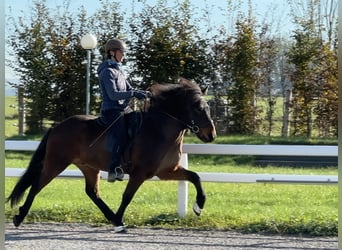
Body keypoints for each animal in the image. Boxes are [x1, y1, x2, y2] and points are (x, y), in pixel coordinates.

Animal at [6, 78, 216, 232]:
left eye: (207, 107)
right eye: (197, 108)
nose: (211, 135)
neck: (159, 129)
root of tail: (57, 127)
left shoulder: (167, 171)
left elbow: (195, 177)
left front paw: (199, 206)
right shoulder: (140, 173)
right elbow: (127, 196)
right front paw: (120, 220)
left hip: (88, 167)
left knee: (92, 192)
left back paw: (111, 218)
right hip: (56, 163)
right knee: (36, 185)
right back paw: (19, 217)